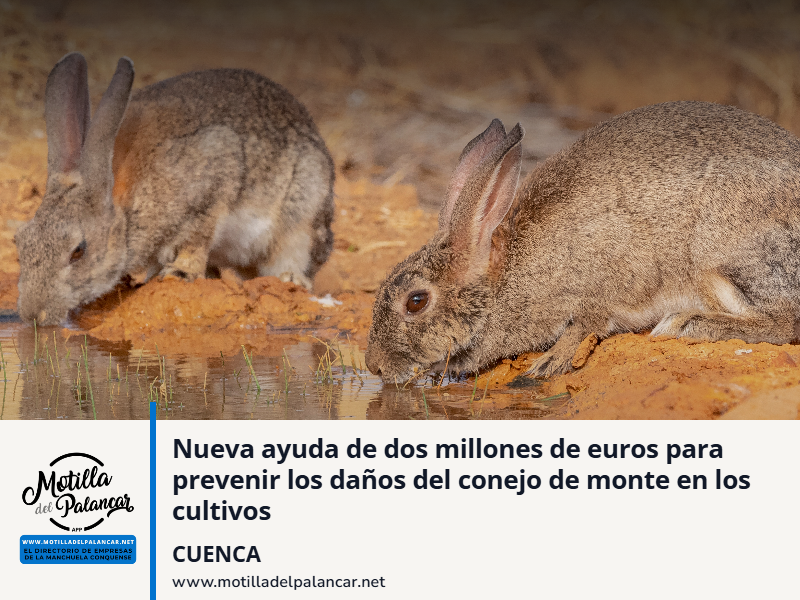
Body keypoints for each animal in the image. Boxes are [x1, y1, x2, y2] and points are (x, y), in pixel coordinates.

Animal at [14, 52, 334, 326]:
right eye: (20, 242)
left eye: (78, 251)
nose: (33, 315)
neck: (125, 211)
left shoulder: (213, 182)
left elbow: (196, 241)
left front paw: (179, 273)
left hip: (303, 212)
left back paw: (290, 279)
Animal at [365, 102, 800, 384]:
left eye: (416, 301)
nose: (373, 366)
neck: (503, 278)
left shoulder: (604, 282)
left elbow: (585, 323)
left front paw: (548, 363)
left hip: (720, 254)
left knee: (784, 322)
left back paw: (687, 323)